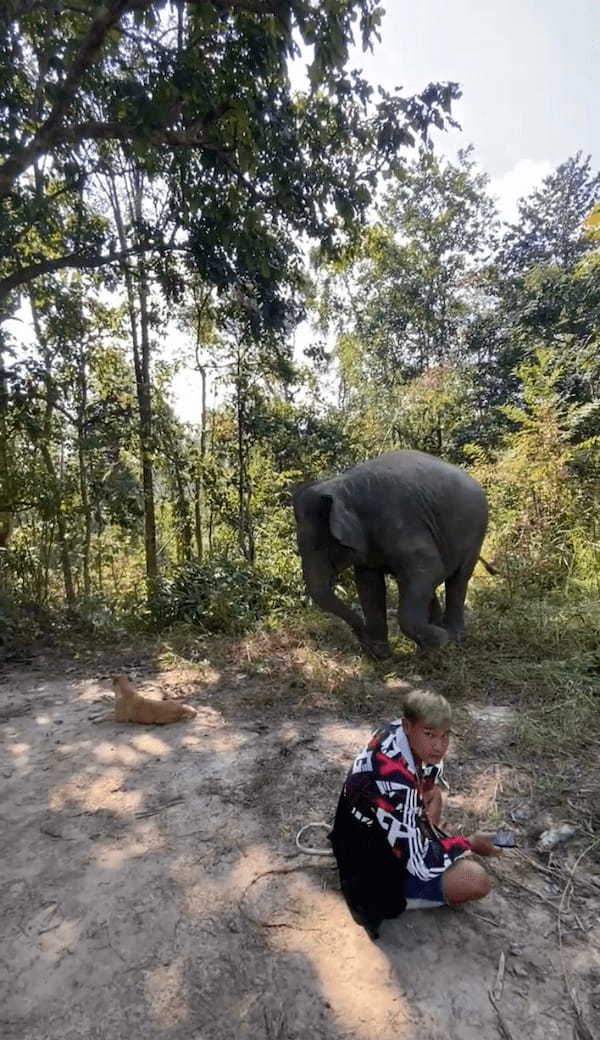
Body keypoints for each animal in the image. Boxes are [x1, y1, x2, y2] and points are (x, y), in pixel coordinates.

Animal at [293, 449, 488, 657]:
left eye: (320, 547)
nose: (363, 638)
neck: (343, 485)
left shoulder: (401, 523)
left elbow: (431, 569)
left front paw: (441, 640)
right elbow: (369, 585)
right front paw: (381, 656)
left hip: (476, 531)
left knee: (457, 579)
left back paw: (452, 638)